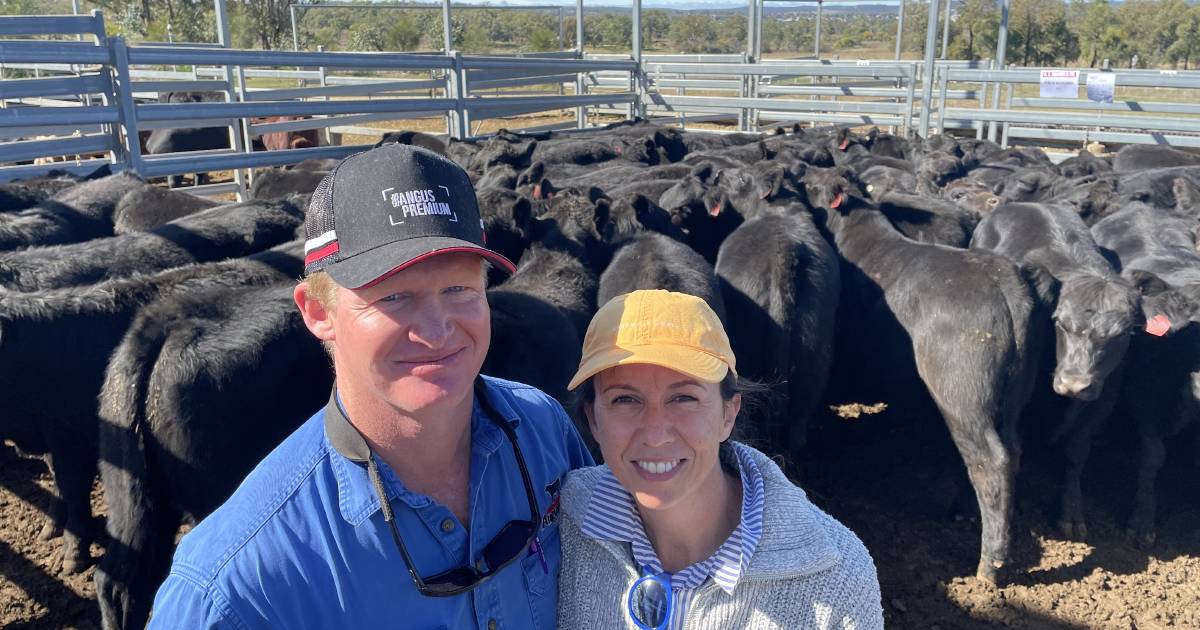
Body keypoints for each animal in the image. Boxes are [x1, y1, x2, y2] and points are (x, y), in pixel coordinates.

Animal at [806, 164, 1041, 583]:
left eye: (807, 186)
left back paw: (990, 563)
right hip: (1014, 396)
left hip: (963, 397)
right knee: (1011, 449)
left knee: (990, 459)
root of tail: (1004, 284)